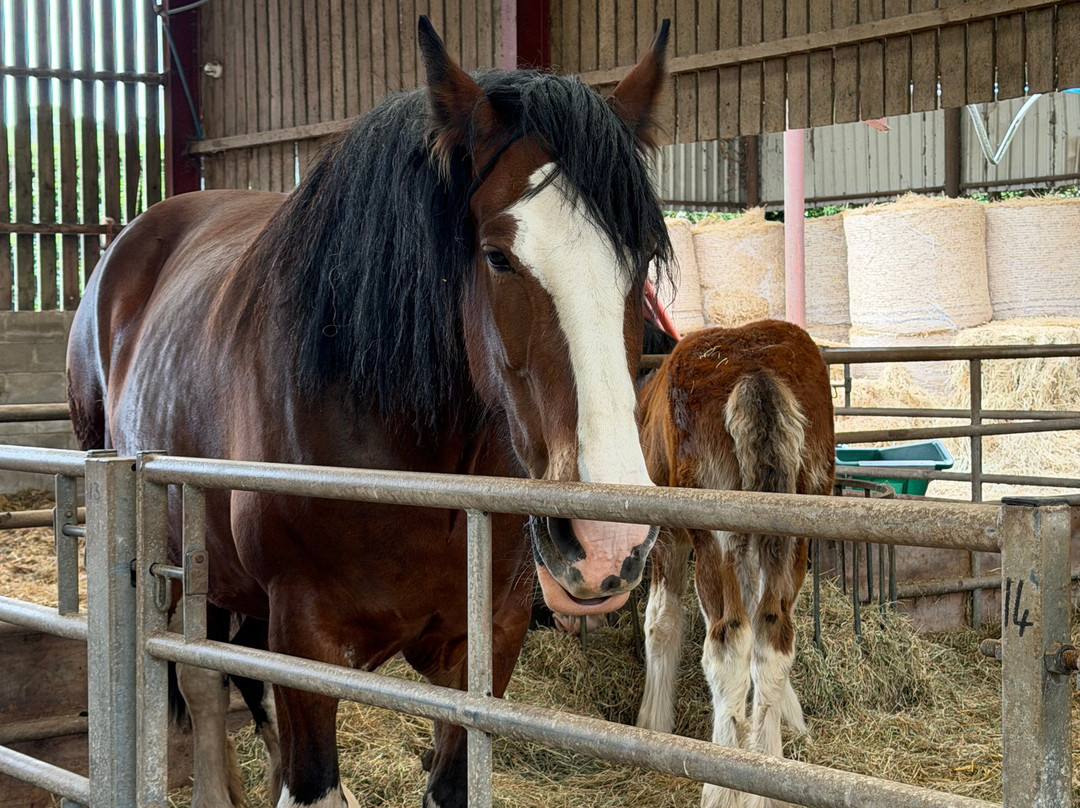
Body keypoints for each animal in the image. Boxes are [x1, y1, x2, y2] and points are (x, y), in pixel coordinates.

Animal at [66, 17, 672, 808]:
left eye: (644, 260)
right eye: (498, 256)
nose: (607, 542)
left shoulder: (490, 639)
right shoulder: (304, 638)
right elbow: (306, 771)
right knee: (202, 680)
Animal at [634, 319, 835, 808]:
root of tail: (754, 372)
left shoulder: (668, 532)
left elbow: (661, 621)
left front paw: (653, 722)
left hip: (714, 534)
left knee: (728, 640)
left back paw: (724, 785)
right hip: (794, 528)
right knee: (773, 633)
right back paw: (768, 775)